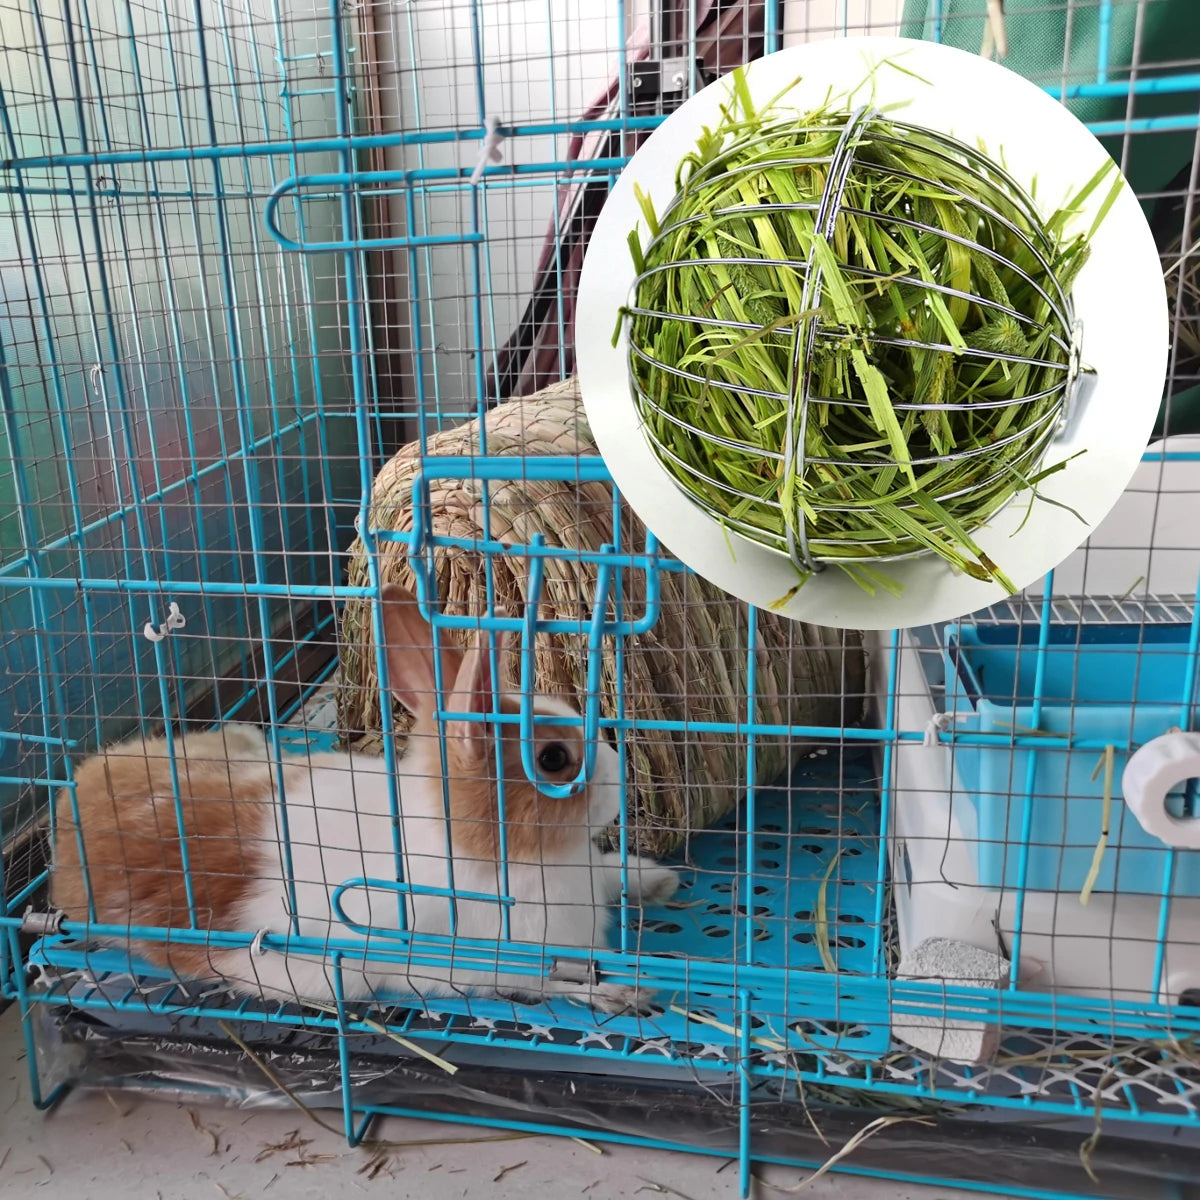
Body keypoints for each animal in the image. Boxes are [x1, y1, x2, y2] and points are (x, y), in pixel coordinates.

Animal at [50, 582, 679, 1014]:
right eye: (552, 760)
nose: (619, 776)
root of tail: (70, 805)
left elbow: (611, 874)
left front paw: (657, 879)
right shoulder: (479, 965)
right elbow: (551, 982)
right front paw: (625, 993)